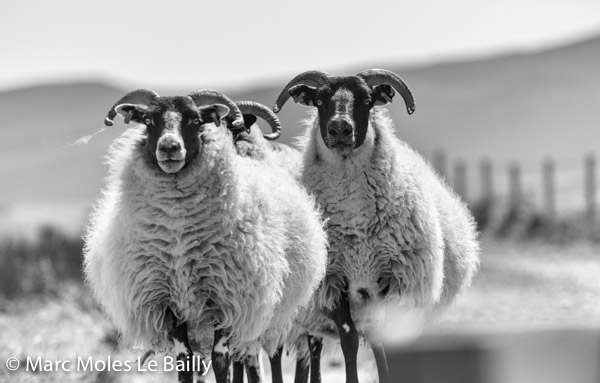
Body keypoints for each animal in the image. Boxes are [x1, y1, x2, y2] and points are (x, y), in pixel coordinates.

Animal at [81, 88, 326, 382]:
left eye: (196, 120)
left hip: (272, 319)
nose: (169, 147)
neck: (178, 236)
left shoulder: (227, 303)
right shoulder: (167, 305)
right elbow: (184, 361)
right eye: (149, 121)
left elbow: (221, 362)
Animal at [274, 69, 480, 383]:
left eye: (367, 100)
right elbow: (349, 340)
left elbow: (385, 342)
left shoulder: (393, 280)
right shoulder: (334, 283)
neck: (355, 223)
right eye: (319, 101)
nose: (340, 128)